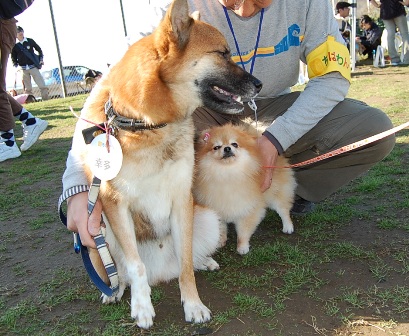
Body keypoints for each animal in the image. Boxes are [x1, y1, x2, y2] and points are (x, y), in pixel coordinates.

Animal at [73, 0, 262, 328]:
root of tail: (162, 270)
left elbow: (186, 263)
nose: (260, 84)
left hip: (206, 218)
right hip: (97, 233)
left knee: (188, 258)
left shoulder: (181, 200)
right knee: (120, 272)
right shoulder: (115, 205)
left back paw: (204, 261)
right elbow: (135, 266)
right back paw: (115, 291)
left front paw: (193, 305)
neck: (151, 126)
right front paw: (142, 306)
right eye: (222, 53)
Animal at [193, 123, 294, 255]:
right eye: (216, 147)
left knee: (283, 210)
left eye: (234, 144)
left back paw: (288, 226)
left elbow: (243, 232)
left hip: (276, 193)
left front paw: (242, 247)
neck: (227, 174)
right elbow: (221, 227)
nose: (227, 148)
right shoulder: (217, 208)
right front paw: (221, 240)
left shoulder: (248, 208)